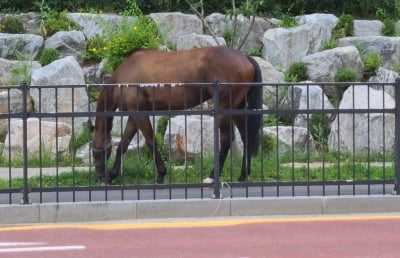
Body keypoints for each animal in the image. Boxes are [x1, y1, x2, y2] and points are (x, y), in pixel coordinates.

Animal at [92, 45, 264, 183]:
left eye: (96, 153)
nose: (99, 176)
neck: (124, 76)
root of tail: (245, 57)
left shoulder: (139, 114)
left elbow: (151, 142)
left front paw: (161, 174)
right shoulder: (135, 116)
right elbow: (123, 144)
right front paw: (112, 175)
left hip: (224, 109)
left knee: (227, 139)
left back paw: (212, 176)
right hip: (237, 108)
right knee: (246, 136)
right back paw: (243, 175)